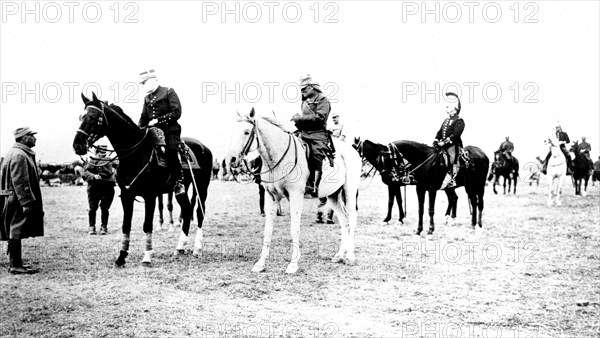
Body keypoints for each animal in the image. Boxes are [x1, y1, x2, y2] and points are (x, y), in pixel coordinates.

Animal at [74, 92, 212, 266]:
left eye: (93, 117)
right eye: (81, 117)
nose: (77, 145)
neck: (136, 154)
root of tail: (204, 147)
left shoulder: (150, 196)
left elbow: (147, 225)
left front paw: (146, 256)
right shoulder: (127, 196)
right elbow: (126, 225)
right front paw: (121, 256)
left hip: (201, 186)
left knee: (199, 213)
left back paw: (197, 249)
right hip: (182, 189)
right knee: (187, 211)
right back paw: (179, 248)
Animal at [229, 109, 360, 274]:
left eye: (246, 132)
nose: (232, 159)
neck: (278, 157)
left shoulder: (295, 195)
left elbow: (294, 229)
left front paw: (293, 264)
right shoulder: (271, 197)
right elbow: (268, 230)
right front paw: (261, 263)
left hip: (350, 190)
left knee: (352, 218)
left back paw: (350, 256)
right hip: (333, 195)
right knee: (344, 221)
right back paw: (339, 255)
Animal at [356, 139, 488, 234]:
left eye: (388, 159)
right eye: (381, 159)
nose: (390, 175)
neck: (425, 161)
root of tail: (482, 154)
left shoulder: (430, 189)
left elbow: (428, 209)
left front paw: (429, 229)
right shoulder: (418, 188)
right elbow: (418, 208)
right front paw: (417, 229)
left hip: (477, 185)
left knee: (478, 203)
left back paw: (478, 225)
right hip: (463, 186)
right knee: (463, 200)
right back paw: (462, 222)